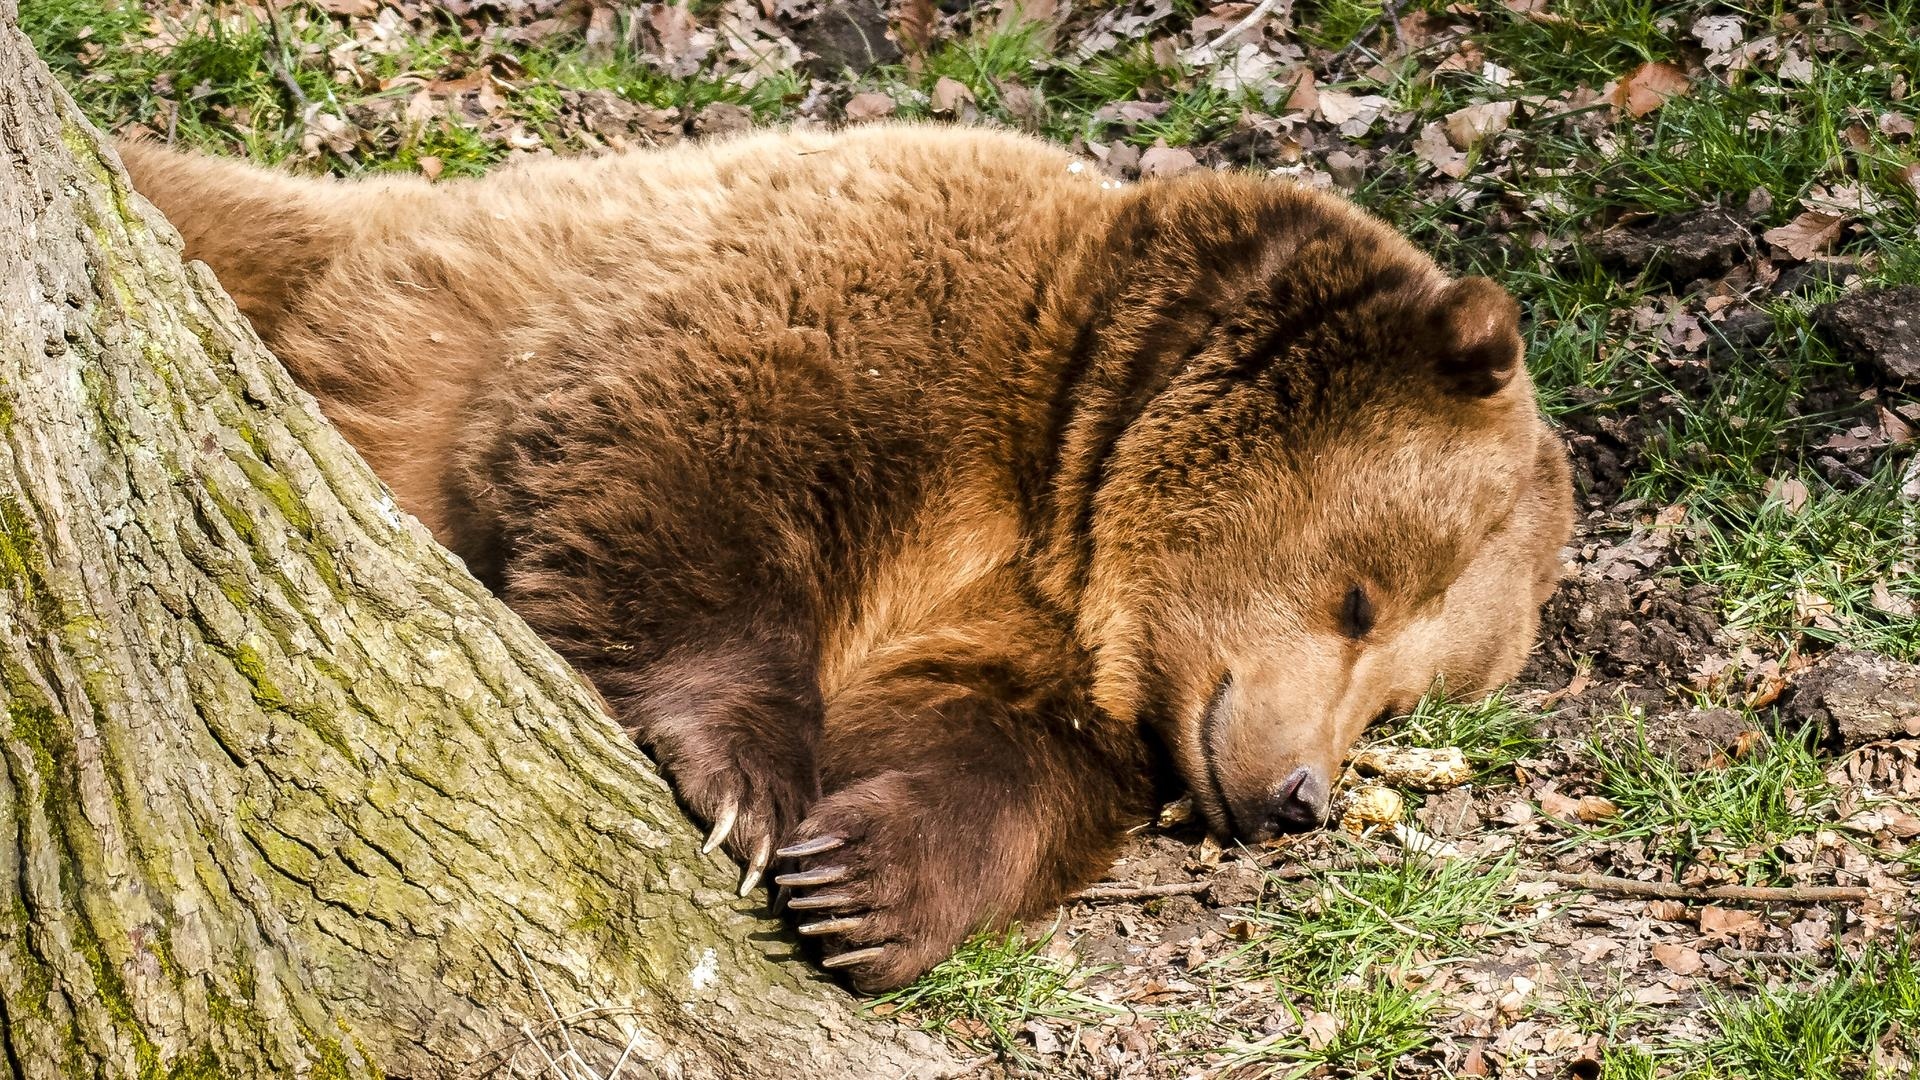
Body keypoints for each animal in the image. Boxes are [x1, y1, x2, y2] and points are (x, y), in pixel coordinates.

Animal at [116, 122, 1574, 991]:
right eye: (1361, 596)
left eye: (1407, 695)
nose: (1295, 795)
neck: (1070, 472)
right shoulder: (874, 321)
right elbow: (685, 475)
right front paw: (745, 787)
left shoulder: (1032, 636)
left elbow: (989, 753)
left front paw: (862, 889)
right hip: (293, 266)